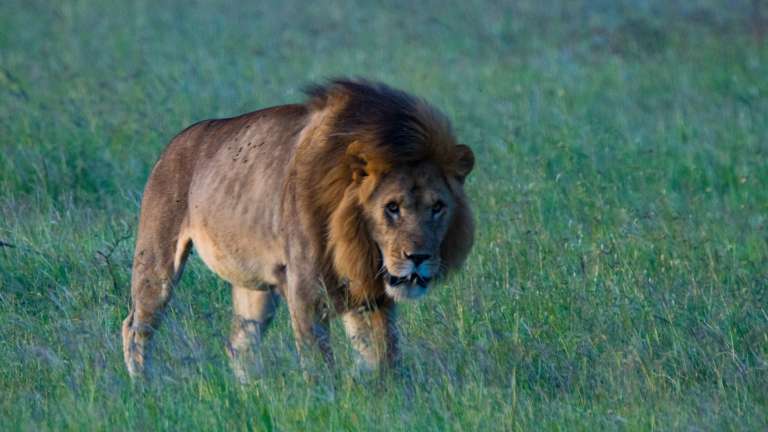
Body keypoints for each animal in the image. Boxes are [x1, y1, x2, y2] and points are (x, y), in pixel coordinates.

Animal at [121, 79, 475, 381]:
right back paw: (144, 387)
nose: (419, 257)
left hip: (255, 289)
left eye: (437, 207)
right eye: (392, 207)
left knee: (239, 347)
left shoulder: (370, 295)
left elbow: (383, 358)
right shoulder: (306, 289)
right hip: (157, 263)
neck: (358, 244)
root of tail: (174, 141)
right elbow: (319, 365)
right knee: (136, 327)